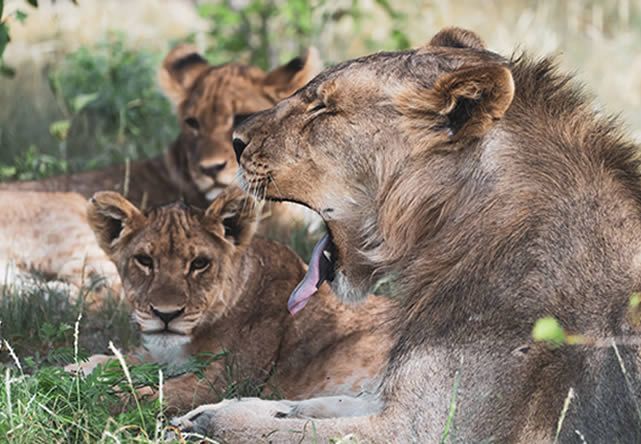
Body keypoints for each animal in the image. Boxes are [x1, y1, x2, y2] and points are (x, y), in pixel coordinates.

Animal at [66, 186, 396, 414]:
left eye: (199, 264)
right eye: (145, 261)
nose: (166, 315)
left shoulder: (225, 380)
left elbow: (144, 395)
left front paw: (74, 396)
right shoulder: (163, 356)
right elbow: (112, 360)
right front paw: (68, 372)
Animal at [169, 28, 640, 444]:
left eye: (323, 108)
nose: (235, 142)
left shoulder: (434, 430)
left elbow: (288, 432)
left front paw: (207, 421)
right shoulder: (398, 399)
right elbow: (320, 404)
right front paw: (217, 407)